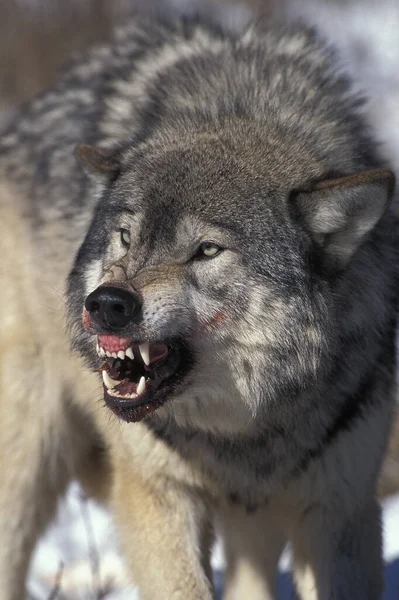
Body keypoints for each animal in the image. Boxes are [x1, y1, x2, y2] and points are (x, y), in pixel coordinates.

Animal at [0, 14, 398, 600]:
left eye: (207, 250)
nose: (107, 304)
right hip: (29, 454)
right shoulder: (157, 492)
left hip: (253, 518)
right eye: (126, 237)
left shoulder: (340, 508)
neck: (243, 431)